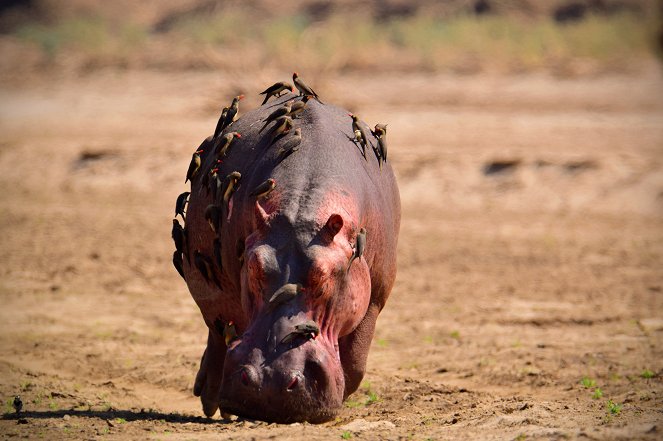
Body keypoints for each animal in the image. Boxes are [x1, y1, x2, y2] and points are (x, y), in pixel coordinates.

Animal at [176, 87, 402, 422]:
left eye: (325, 276)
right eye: (253, 267)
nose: (272, 381)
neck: (303, 200)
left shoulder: (374, 298)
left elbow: (355, 361)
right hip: (208, 291)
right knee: (218, 332)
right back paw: (211, 399)